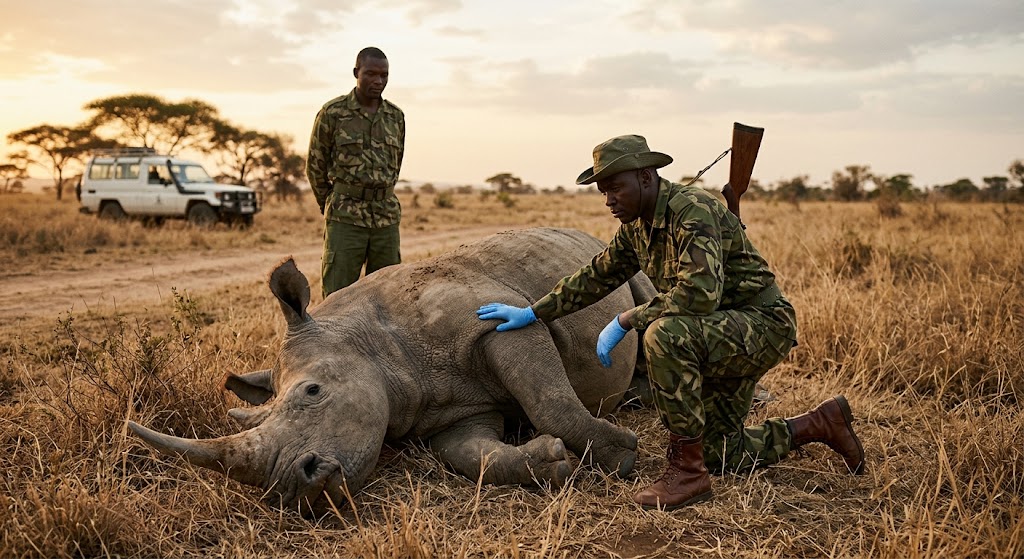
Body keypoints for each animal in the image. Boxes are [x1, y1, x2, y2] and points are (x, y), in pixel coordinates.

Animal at [129, 227, 657, 514]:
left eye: (313, 392)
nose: (293, 487)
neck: (376, 346)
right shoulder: (456, 411)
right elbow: (473, 456)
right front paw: (552, 461)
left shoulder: (500, 323)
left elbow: (548, 400)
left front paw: (621, 456)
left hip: (615, 253)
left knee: (645, 292)